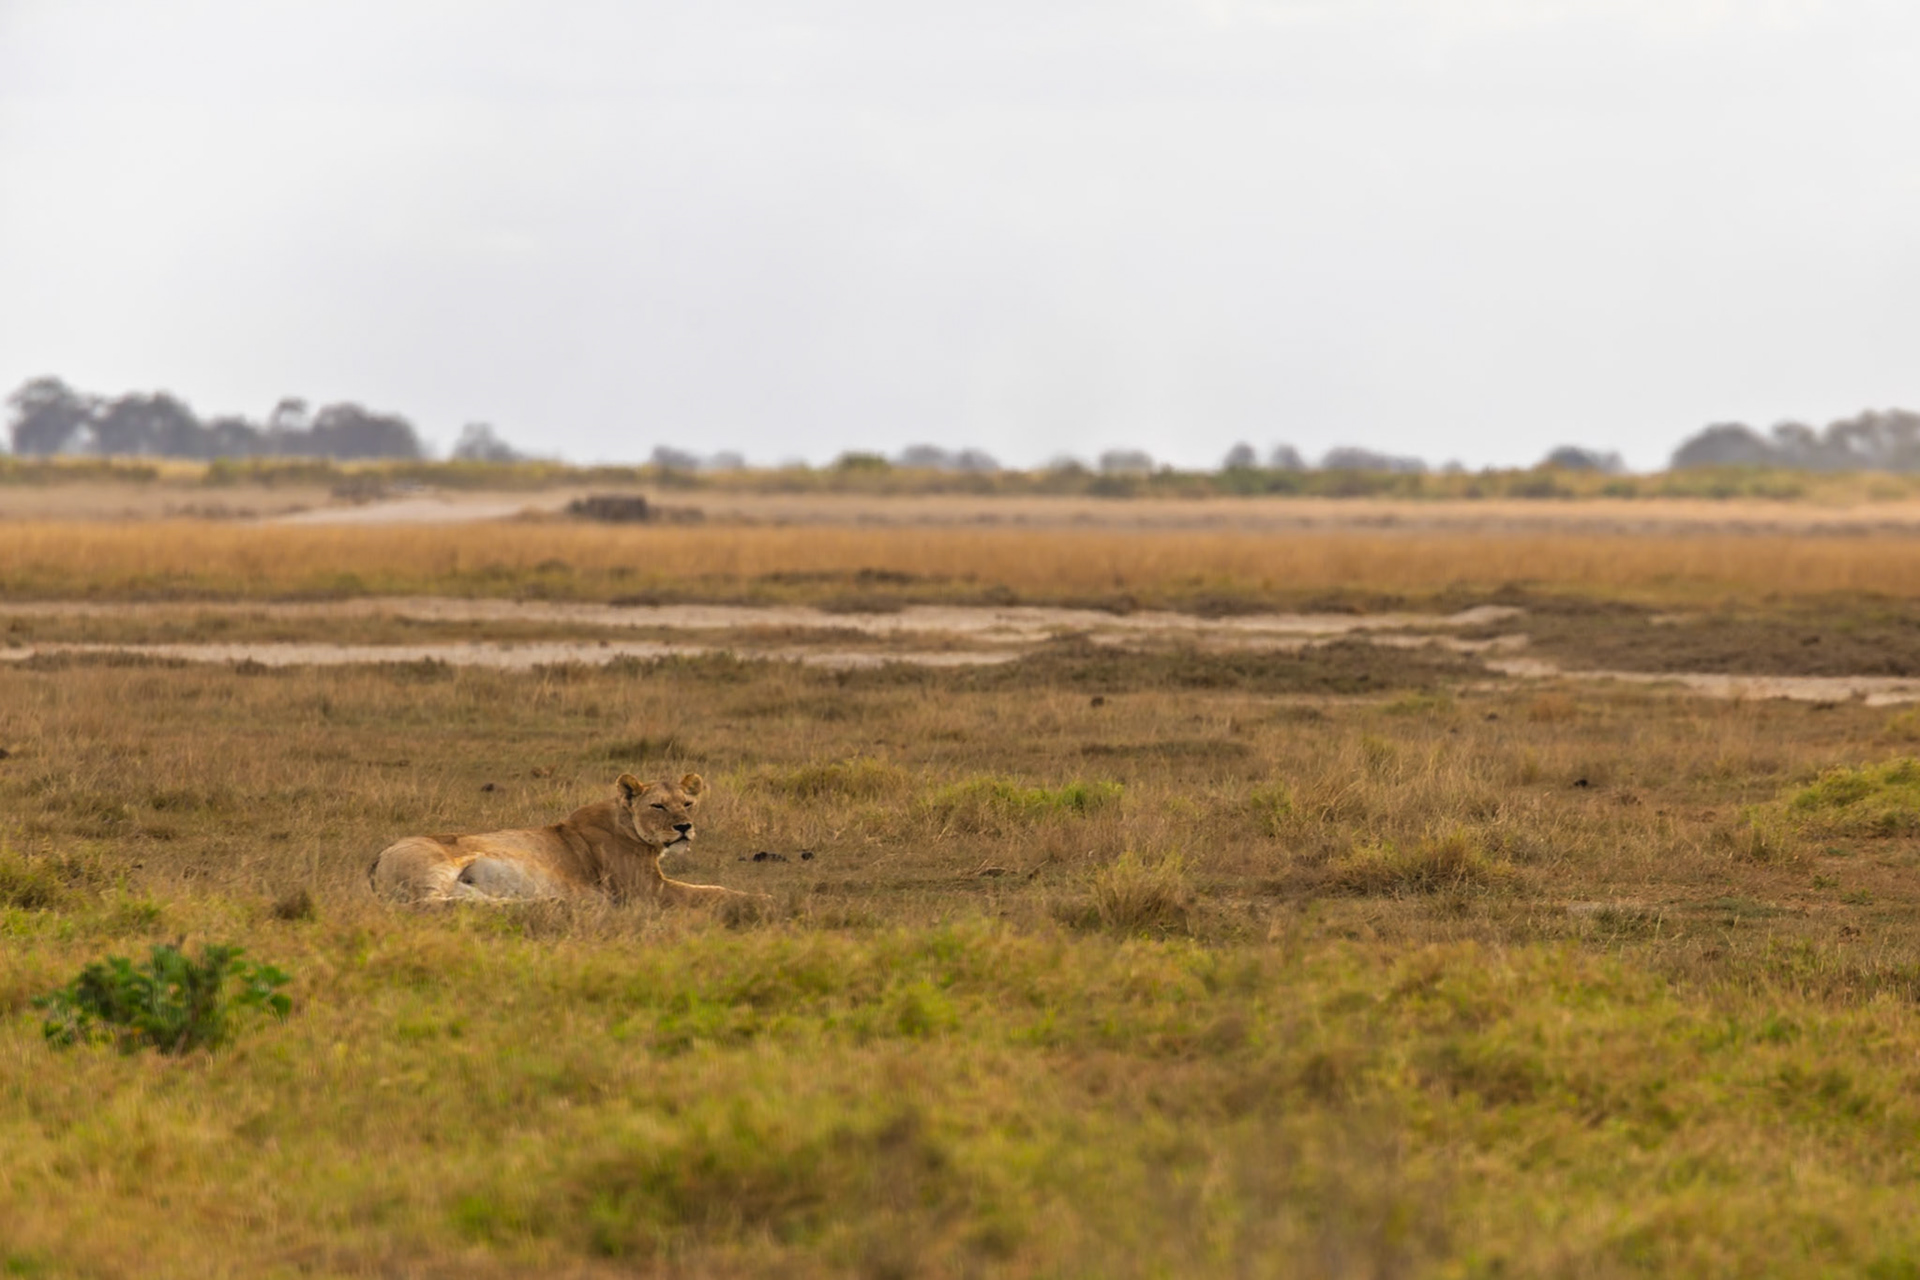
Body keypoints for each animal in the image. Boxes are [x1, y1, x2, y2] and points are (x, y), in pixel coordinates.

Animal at [368, 772, 762, 907]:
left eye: (687, 803)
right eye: (658, 806)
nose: (684, 827)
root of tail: (375, 858)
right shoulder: (647, 890)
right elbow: (712, 891)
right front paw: (763, 899)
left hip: (468, 885)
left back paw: (549, 902)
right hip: (437, 865)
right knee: (430, 905)